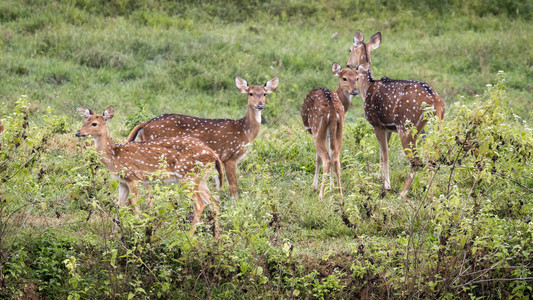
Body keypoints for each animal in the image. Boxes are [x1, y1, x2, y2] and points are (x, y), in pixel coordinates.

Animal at [75, 105, 222, 237]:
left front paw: (138, 231)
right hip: (200, 178)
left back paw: (189, 236)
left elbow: (134, 206)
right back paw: (217, 237)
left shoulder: (133, 177)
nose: (78, 132)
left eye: (94, 123)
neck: (114, 157)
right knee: (214, 203)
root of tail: (214, 156)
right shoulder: (122, 182)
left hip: (188, 176)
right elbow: (119, 206)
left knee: (200, 204)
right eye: (85, 120)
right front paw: (114, 234)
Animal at [127, 76, 280, 197]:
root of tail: (145, 124)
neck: (244, 131)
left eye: (265, 94)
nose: (260, 105)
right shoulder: (230, 156)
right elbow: (233, 187)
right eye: (251, 93)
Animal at [300, 62, 358, 199]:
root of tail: (332, 109)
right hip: (340, 128)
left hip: (318, 128)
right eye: (344, 78)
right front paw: (331, 188)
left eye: (357, 78)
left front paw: (315, 186)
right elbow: (332, 156)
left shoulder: (315, 133)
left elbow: (317, 158)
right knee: (336, 158)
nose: (355, 91)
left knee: (326, 159)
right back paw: (340, 193)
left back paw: (320, 195)